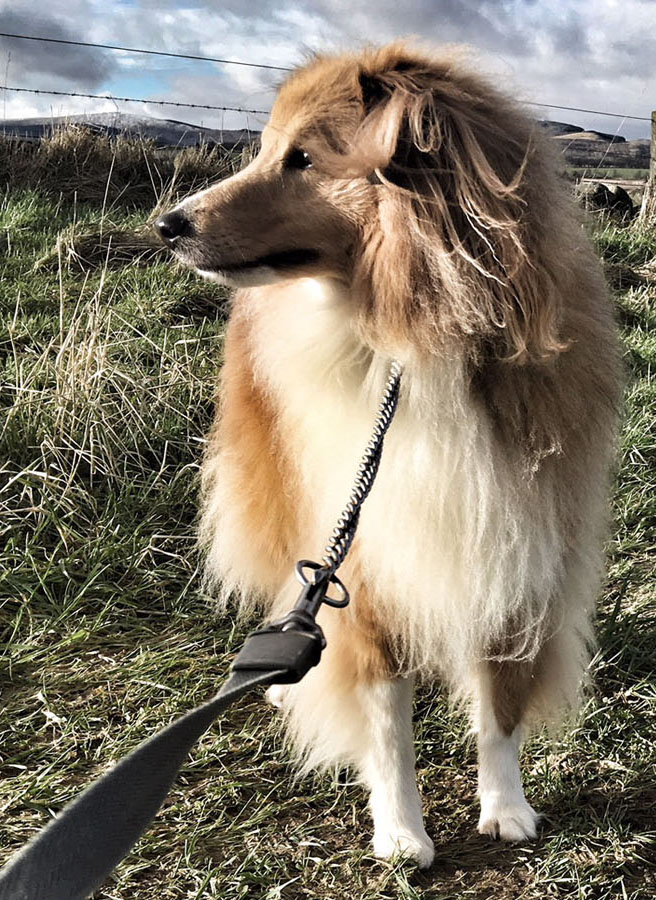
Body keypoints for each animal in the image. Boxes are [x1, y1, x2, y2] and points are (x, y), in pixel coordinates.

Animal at [158, 40, 620, 864]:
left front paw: (506, 806)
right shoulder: (360, 566)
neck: (413, 339)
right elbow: (383, 717)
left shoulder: (516, 541)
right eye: (267, 148)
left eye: (302, 158)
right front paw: (402, 831)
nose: (166, 224)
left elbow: (502, 703)